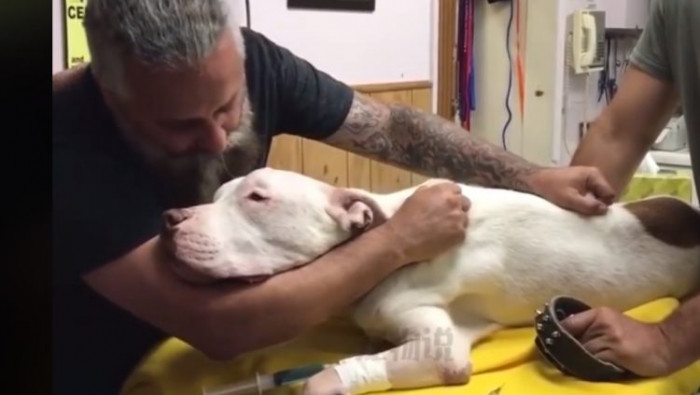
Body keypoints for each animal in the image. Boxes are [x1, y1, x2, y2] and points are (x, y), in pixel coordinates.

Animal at [160, 168, 700, 395]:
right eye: (218, 193)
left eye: (257, 197)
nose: (168, 219)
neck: (385, 248)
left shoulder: (442, 348)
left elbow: (322, 377)